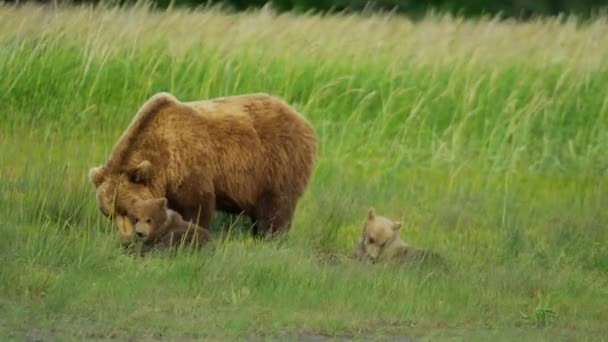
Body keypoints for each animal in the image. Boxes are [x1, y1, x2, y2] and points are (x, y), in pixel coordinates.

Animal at [91, 93, 318, 243]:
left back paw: (270, 238)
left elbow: (197, 207)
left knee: (276, 208)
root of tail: (301, 118)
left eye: (128, 211)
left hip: (277, 164)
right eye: (108, 213)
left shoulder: (189, 166)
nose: (128, 239)